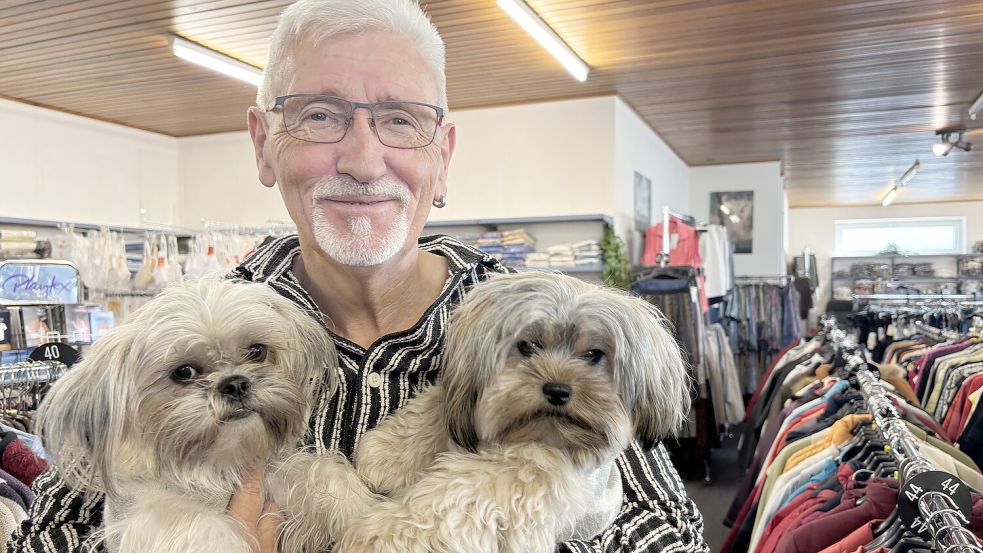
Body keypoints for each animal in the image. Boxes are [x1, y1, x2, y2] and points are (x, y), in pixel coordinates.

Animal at [36, 278, 336, 552]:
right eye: (184, 372)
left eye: (256, 351)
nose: (235, 384)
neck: (213, 471)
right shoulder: (152, 518)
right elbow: (205, 528)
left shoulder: (273, 477)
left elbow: (323, 475)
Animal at [270, 272, 692, 552]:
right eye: (528, 346)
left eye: (593, 354)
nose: (557, 390)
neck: (533, 434)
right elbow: (437, 409)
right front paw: (386, 454)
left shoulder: (519, 481)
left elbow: (452, 497)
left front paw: (383, 536)